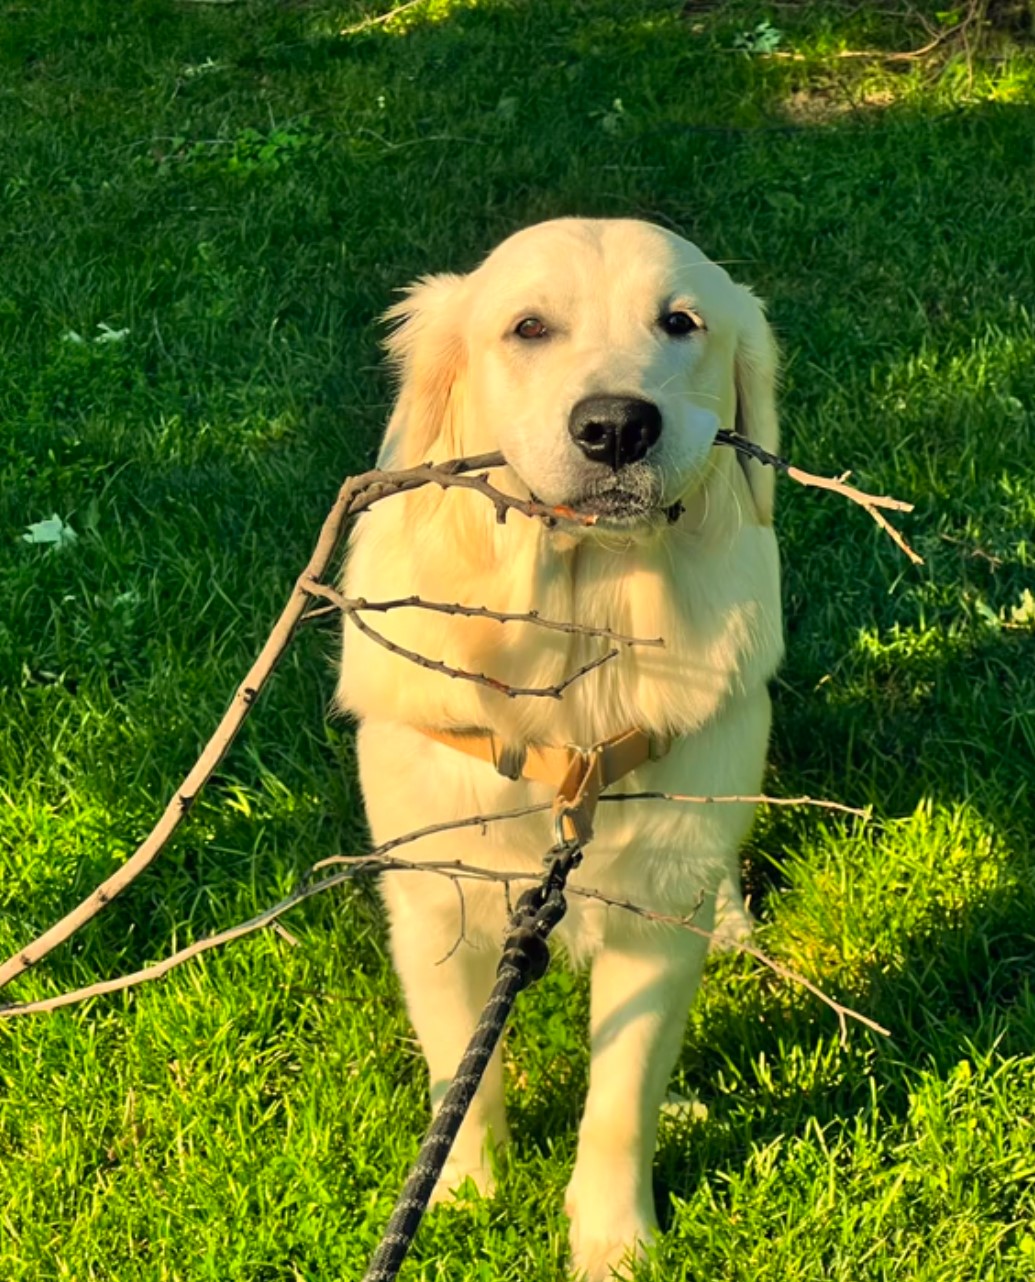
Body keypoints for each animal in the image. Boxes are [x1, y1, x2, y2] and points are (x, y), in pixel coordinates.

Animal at [341, 215, 784, 1276]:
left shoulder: (653, 907)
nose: (615, 427)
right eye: (529, 327)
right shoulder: (437, 892)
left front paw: (614, 1242)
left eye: (680, 323)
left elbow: (621, 1101)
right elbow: (463, 1070)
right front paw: (460, 1195)